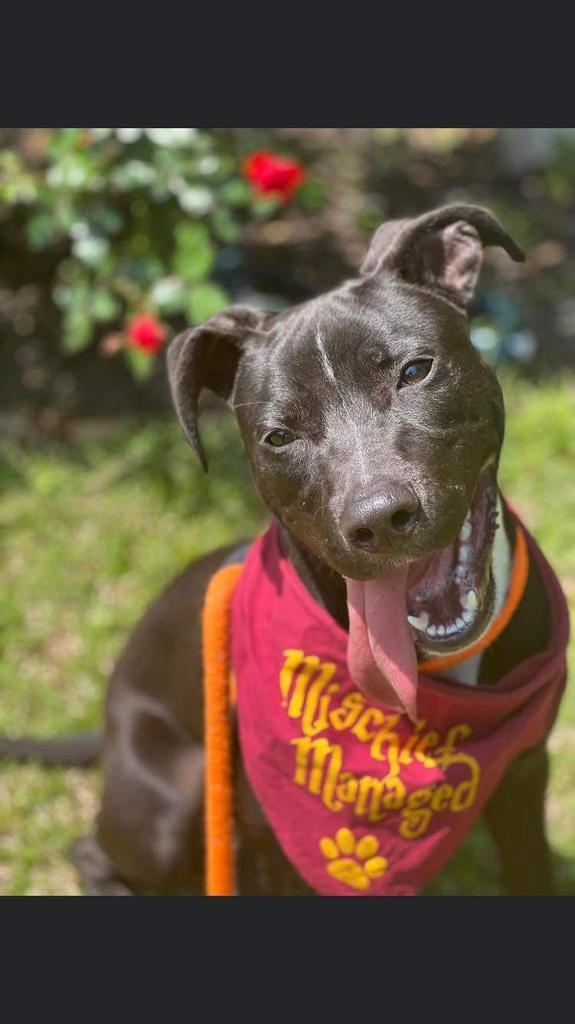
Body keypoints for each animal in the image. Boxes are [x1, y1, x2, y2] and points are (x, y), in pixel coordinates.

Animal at [2, 203, 560, 892]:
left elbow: (532, 866)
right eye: (278, 436)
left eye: (414, 371)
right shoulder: (268, 836)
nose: (378, 520)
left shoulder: (527, 768)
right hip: (173, 802)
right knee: (91, 850)